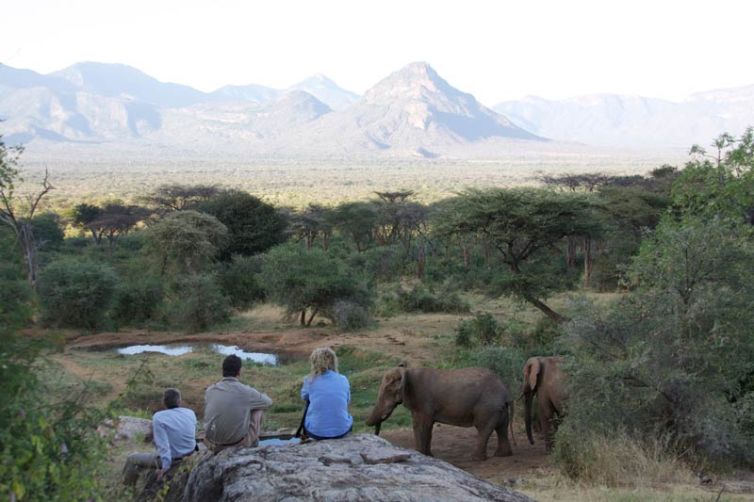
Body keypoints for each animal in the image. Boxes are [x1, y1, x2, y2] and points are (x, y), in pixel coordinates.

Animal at [366, 366, 513, 460]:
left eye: (388, 390)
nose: (375, 433)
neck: (407, 371)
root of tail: (505, 391)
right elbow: (427, 427)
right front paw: (429, 456)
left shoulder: (423, 401)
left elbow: (422, 426)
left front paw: (421, 455)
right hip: (498, 408)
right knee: (501, 428)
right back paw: (501, 455)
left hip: (487, 407)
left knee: (483, 428)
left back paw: (475, 458)